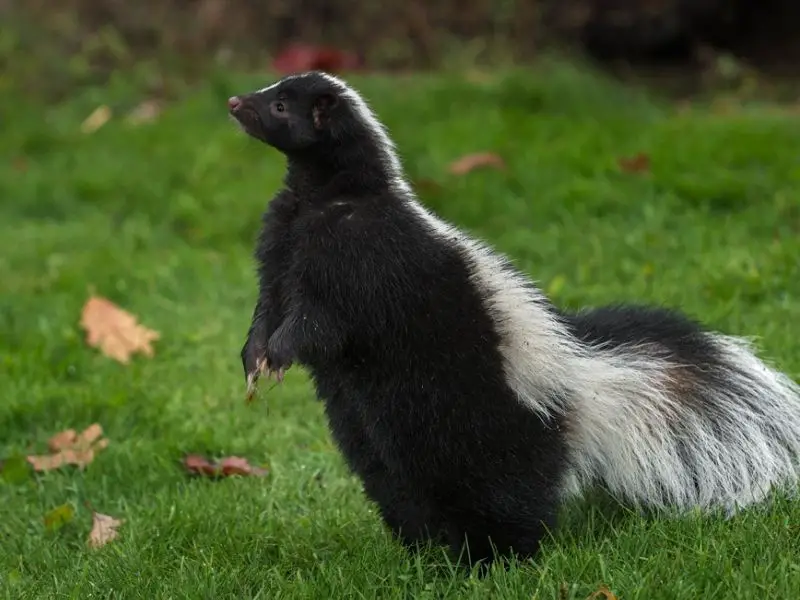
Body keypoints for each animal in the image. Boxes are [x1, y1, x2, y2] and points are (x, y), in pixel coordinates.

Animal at [228, 70, 800, 568]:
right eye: (272, 92)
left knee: (501, 495)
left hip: (482, 423)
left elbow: (321, 320)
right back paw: (425, 555)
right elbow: (269, 305)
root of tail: (586, 387)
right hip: (378, 429)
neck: (328, 196)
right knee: (397, 482)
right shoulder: (282, 246)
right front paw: (254, 358)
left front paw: (278, 355)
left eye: (280, 106)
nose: (235, 102)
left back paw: (492, 560)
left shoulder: (362, 257)